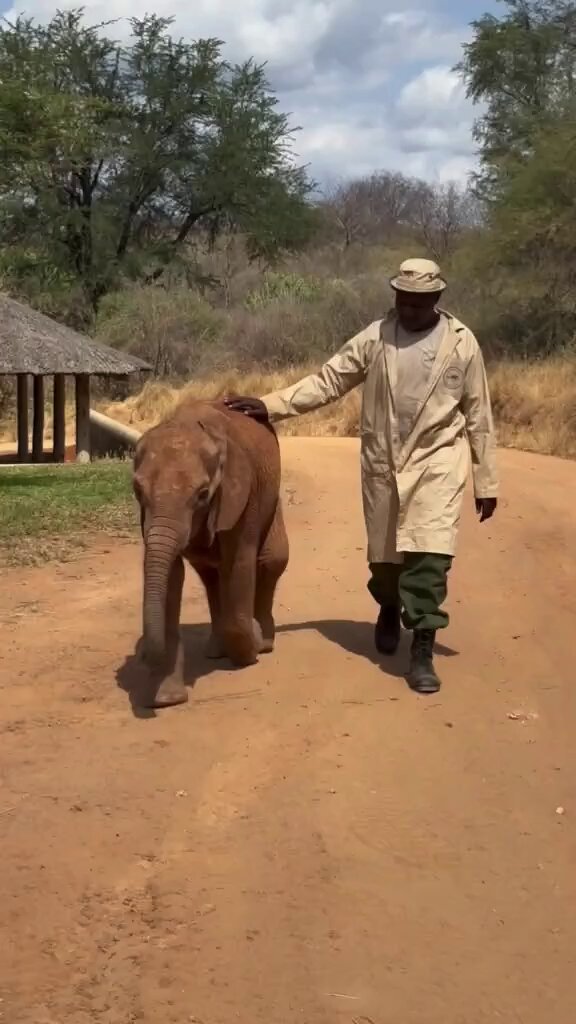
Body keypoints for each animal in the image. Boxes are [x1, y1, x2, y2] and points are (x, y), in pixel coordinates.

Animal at [131, 397, 289, 708]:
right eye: (137, 491)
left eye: (203, 494)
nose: (142, 654)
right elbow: (172, 575)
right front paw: (166, 699)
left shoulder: (242, 493)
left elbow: (241, 560)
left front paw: (250, 650)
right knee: (210, 575)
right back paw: (218, 650)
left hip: (271, 501)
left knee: (272, 560)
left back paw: (263, 643)